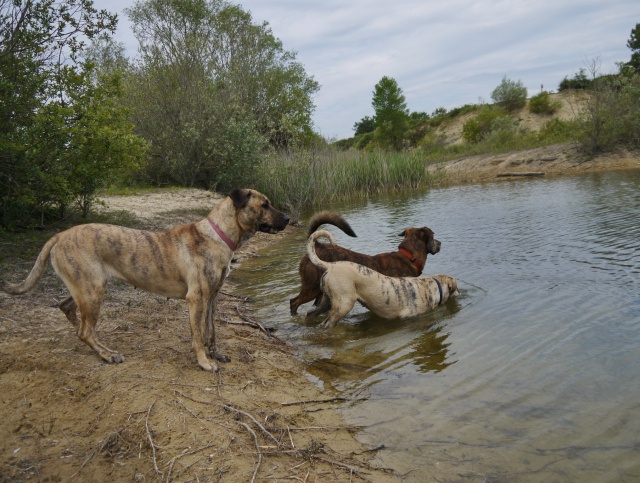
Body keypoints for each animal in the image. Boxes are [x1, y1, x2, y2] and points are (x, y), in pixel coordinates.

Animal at [0, 191, 290, 372]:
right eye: (265, 205)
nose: (289, 218)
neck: (219, 235)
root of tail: (59, 235)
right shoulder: (197, 299)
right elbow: (198, 334)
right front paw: (204, 362)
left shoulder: (213, 297)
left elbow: (211, 331)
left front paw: (215, 353)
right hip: (93, 291)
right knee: (84, 330)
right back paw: (106, 354)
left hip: (86, 287)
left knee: (71, 313)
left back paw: (99, 345)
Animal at [288, 211, 440, 316]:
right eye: (433, 236)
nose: (440, 244)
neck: (408, 256)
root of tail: (317, 245)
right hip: (311, 288)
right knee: (294, 302)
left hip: (320, 293)